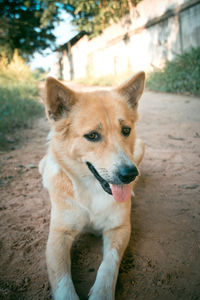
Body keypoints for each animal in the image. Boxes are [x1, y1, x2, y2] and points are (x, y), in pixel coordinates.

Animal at [39, 72, 145, 300]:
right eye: (92, 136)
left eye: (126, 130)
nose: (129, 174)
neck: (92, 190)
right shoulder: (58, 236)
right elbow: (63, 283)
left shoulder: (119, 228)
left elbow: (109, 265)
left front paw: (101, 293)